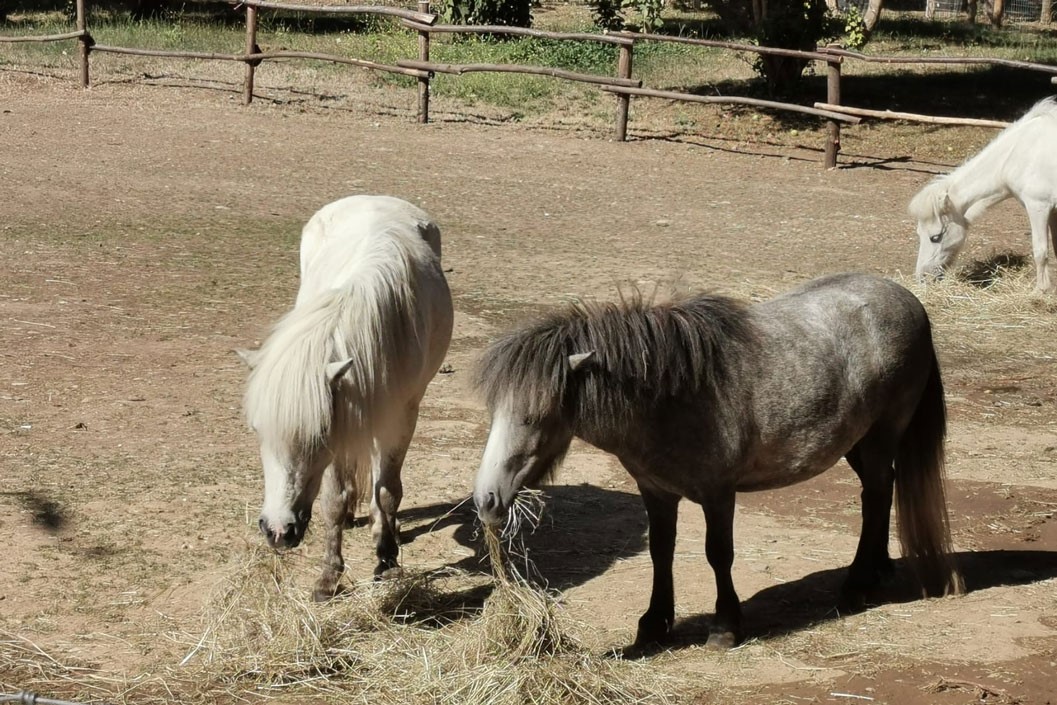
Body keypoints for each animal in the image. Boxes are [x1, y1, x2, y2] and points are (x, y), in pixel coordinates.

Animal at [239, 194, 454, 600]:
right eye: (258, 431)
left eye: (316, 435)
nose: (277, 531)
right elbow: (334, 501)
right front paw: (329, 576)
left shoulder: (400, 416)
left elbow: (388, 491)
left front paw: (387, 559)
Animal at [909, 96, 1057, 291]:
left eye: (935, 237)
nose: (923, 278)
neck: (1018, 154)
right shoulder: (1053, 210)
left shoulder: (1038, 206)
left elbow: (1040, 250)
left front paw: (1041, 290)